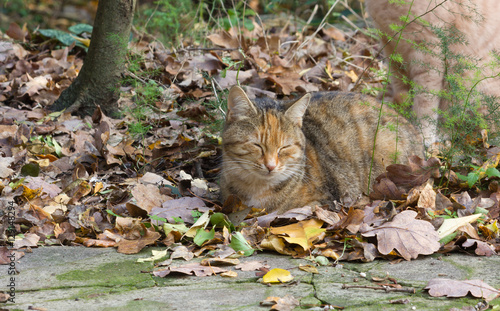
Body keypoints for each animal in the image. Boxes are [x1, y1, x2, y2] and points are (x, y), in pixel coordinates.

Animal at [364, 0, 500, 144]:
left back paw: (442, 133)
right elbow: (400, 86)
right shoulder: (391, 47)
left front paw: (423, 134)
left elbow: (425, 101)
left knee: (478, 128)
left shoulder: (426, 50)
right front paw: (401, 113)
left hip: (467, 79)